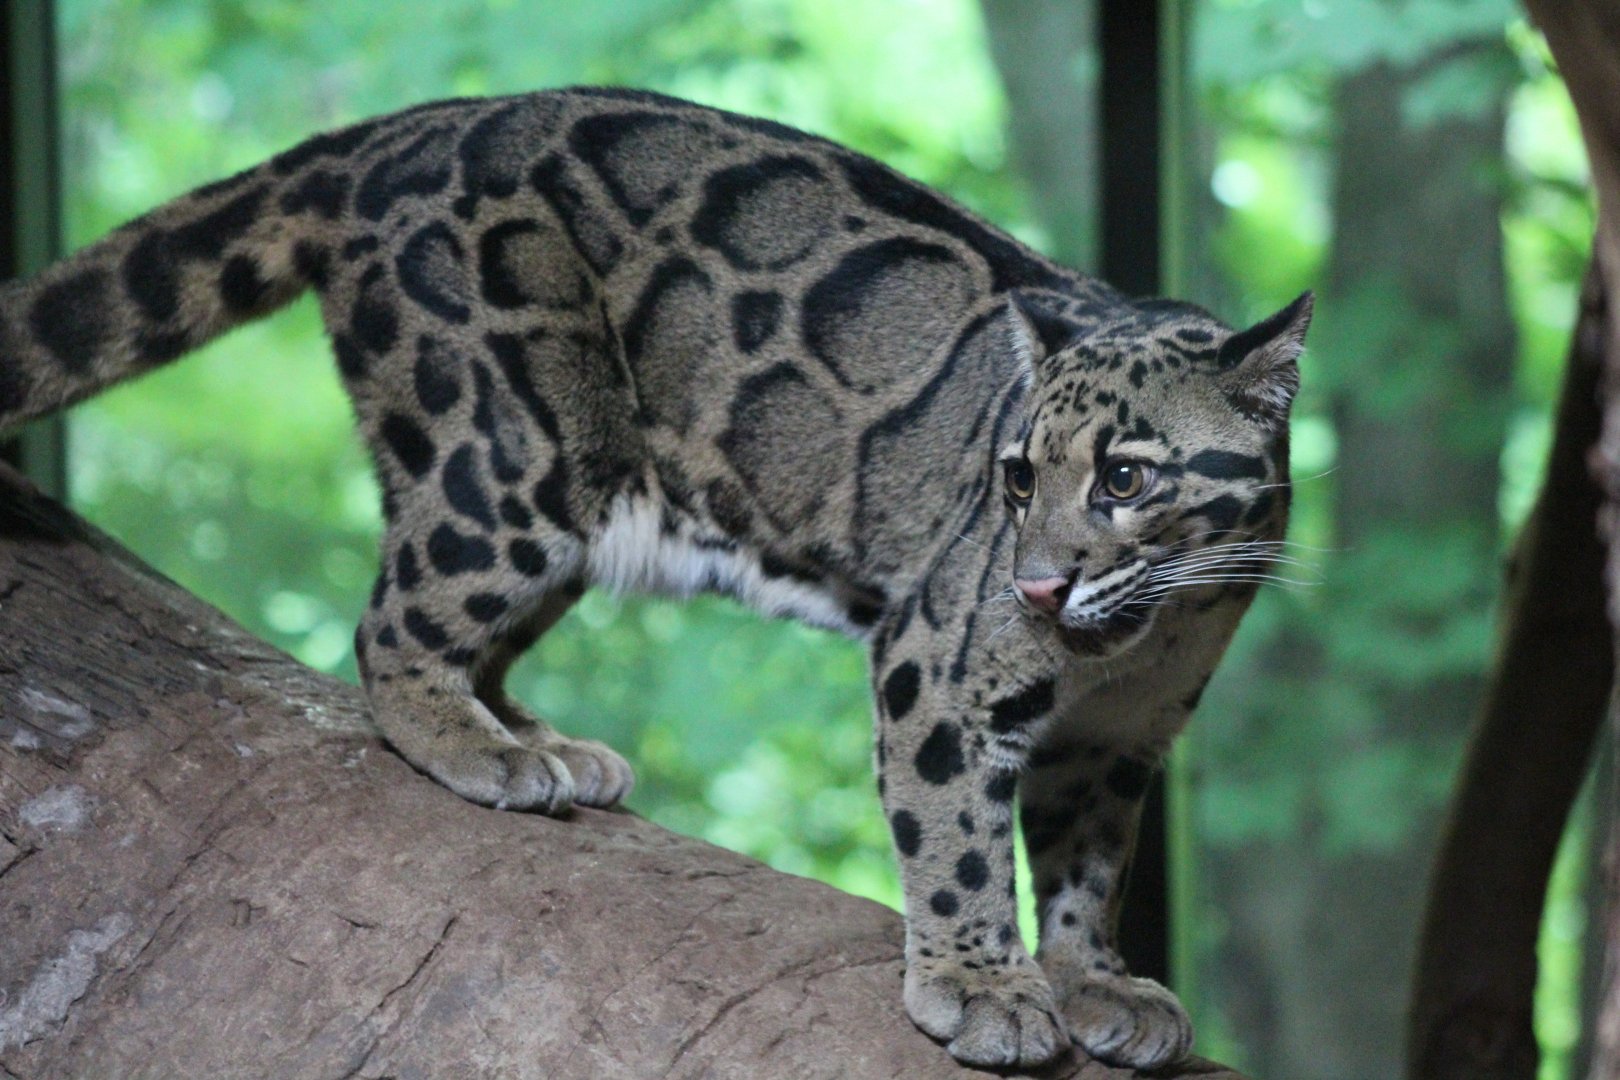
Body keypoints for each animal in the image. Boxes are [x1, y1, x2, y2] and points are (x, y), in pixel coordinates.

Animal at [0, 87, 1310, 1070]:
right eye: (1019, 477)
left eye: (1127, 477)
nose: (1035, 587)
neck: (1160, 624)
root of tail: (408, 128)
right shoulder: (935, 666)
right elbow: (958, 838)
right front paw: (980, 983)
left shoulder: (1118, 742)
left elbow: (1091, 867)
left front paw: (1096, 979)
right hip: (511, 455)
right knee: (392, 629)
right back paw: (477, 747)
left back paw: (536, 735)